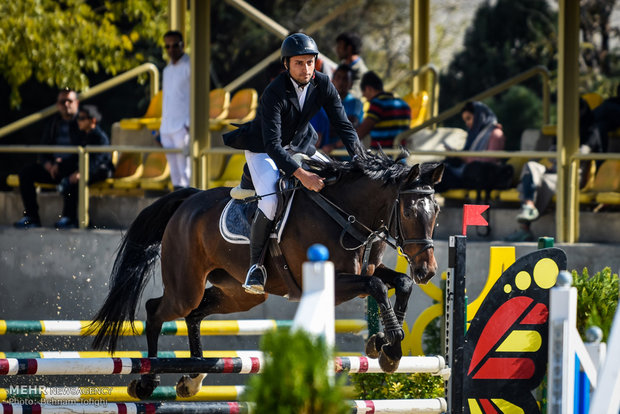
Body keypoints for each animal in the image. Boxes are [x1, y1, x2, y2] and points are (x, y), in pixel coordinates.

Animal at [89, 150, 444, 400]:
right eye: (408, 212)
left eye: (436, 211)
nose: (427, 271)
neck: (345, 214)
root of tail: (189, 200)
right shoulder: (332, 283)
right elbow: (378, 286)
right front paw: (391, 348)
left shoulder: (364, 273)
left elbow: (399, 283)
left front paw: (382, 345)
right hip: (185, 286)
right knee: (157, 310)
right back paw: (147, 382)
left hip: (238, 295)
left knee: (195, 314)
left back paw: (193, 377)